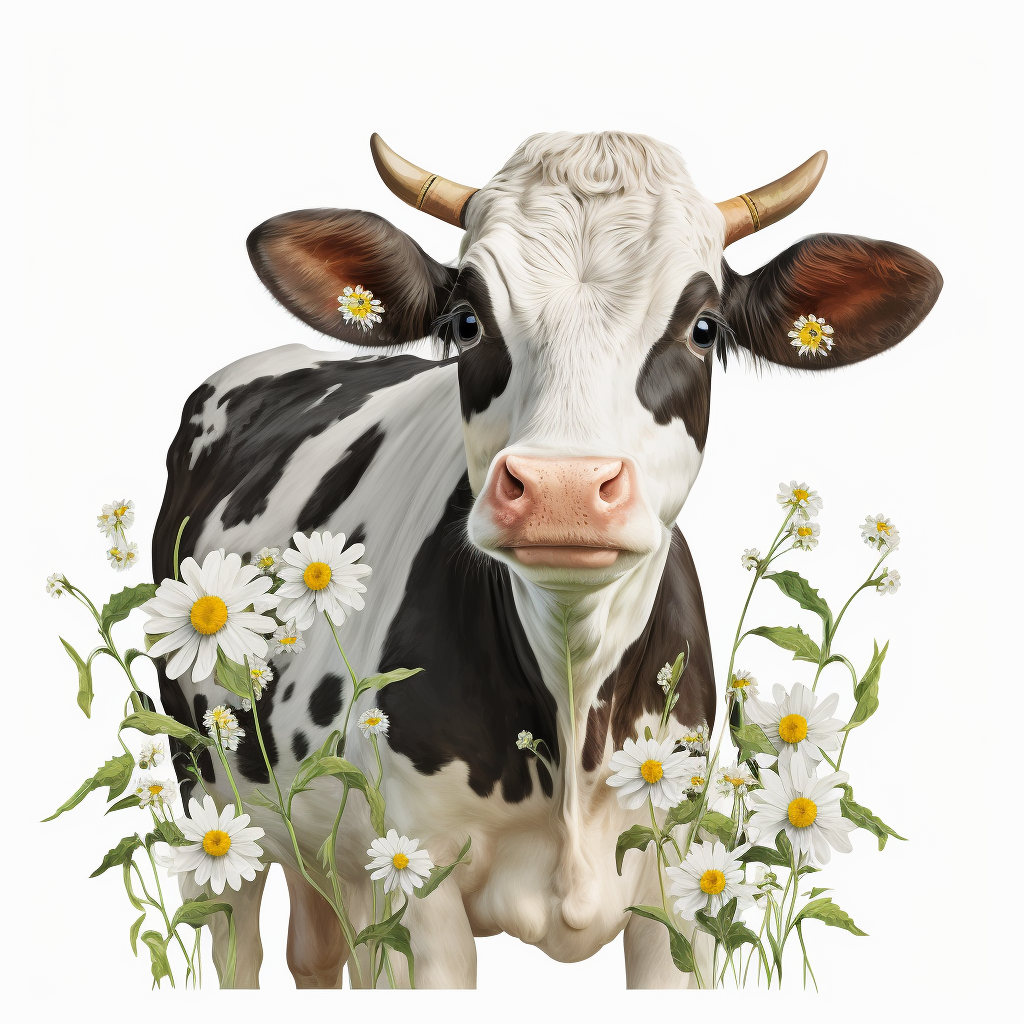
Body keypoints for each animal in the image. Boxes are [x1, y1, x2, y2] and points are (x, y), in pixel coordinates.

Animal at [152, 131, 941, 989]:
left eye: (704, 328)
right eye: (467, 321)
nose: (564, 489)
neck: (572, 688)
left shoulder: (684, 880)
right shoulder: (413, 884)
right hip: (212, 800)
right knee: (238, 941)